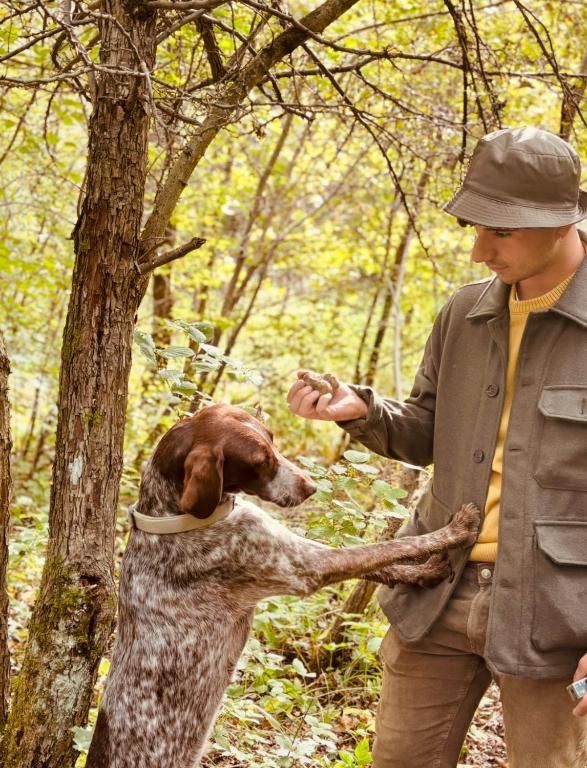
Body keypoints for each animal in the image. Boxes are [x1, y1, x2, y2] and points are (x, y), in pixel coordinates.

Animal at [85, 404, 479, 768]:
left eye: (273, 441)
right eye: (261, 461)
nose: (311, 487)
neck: (169, 517)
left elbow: (384, 565)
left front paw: (421, 574)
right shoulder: (304, 565)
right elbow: (387, 548)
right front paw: (455, 531)